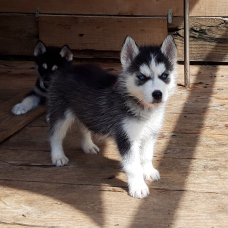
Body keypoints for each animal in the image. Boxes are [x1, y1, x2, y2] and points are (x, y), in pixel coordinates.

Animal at [47, 35, 177, 198]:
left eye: (164, 75)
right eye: (141, 77)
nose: (158, 94)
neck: (144, 109)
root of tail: (67, 68)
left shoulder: (150, 133)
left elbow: (147, 155)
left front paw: (148, 171)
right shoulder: (126, 137)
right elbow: (133, 165)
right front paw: (138, 186)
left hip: (86, 110)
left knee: (83, 126)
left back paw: (88, 146)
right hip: (61, 112)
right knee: (55, 134)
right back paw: (58, 156)